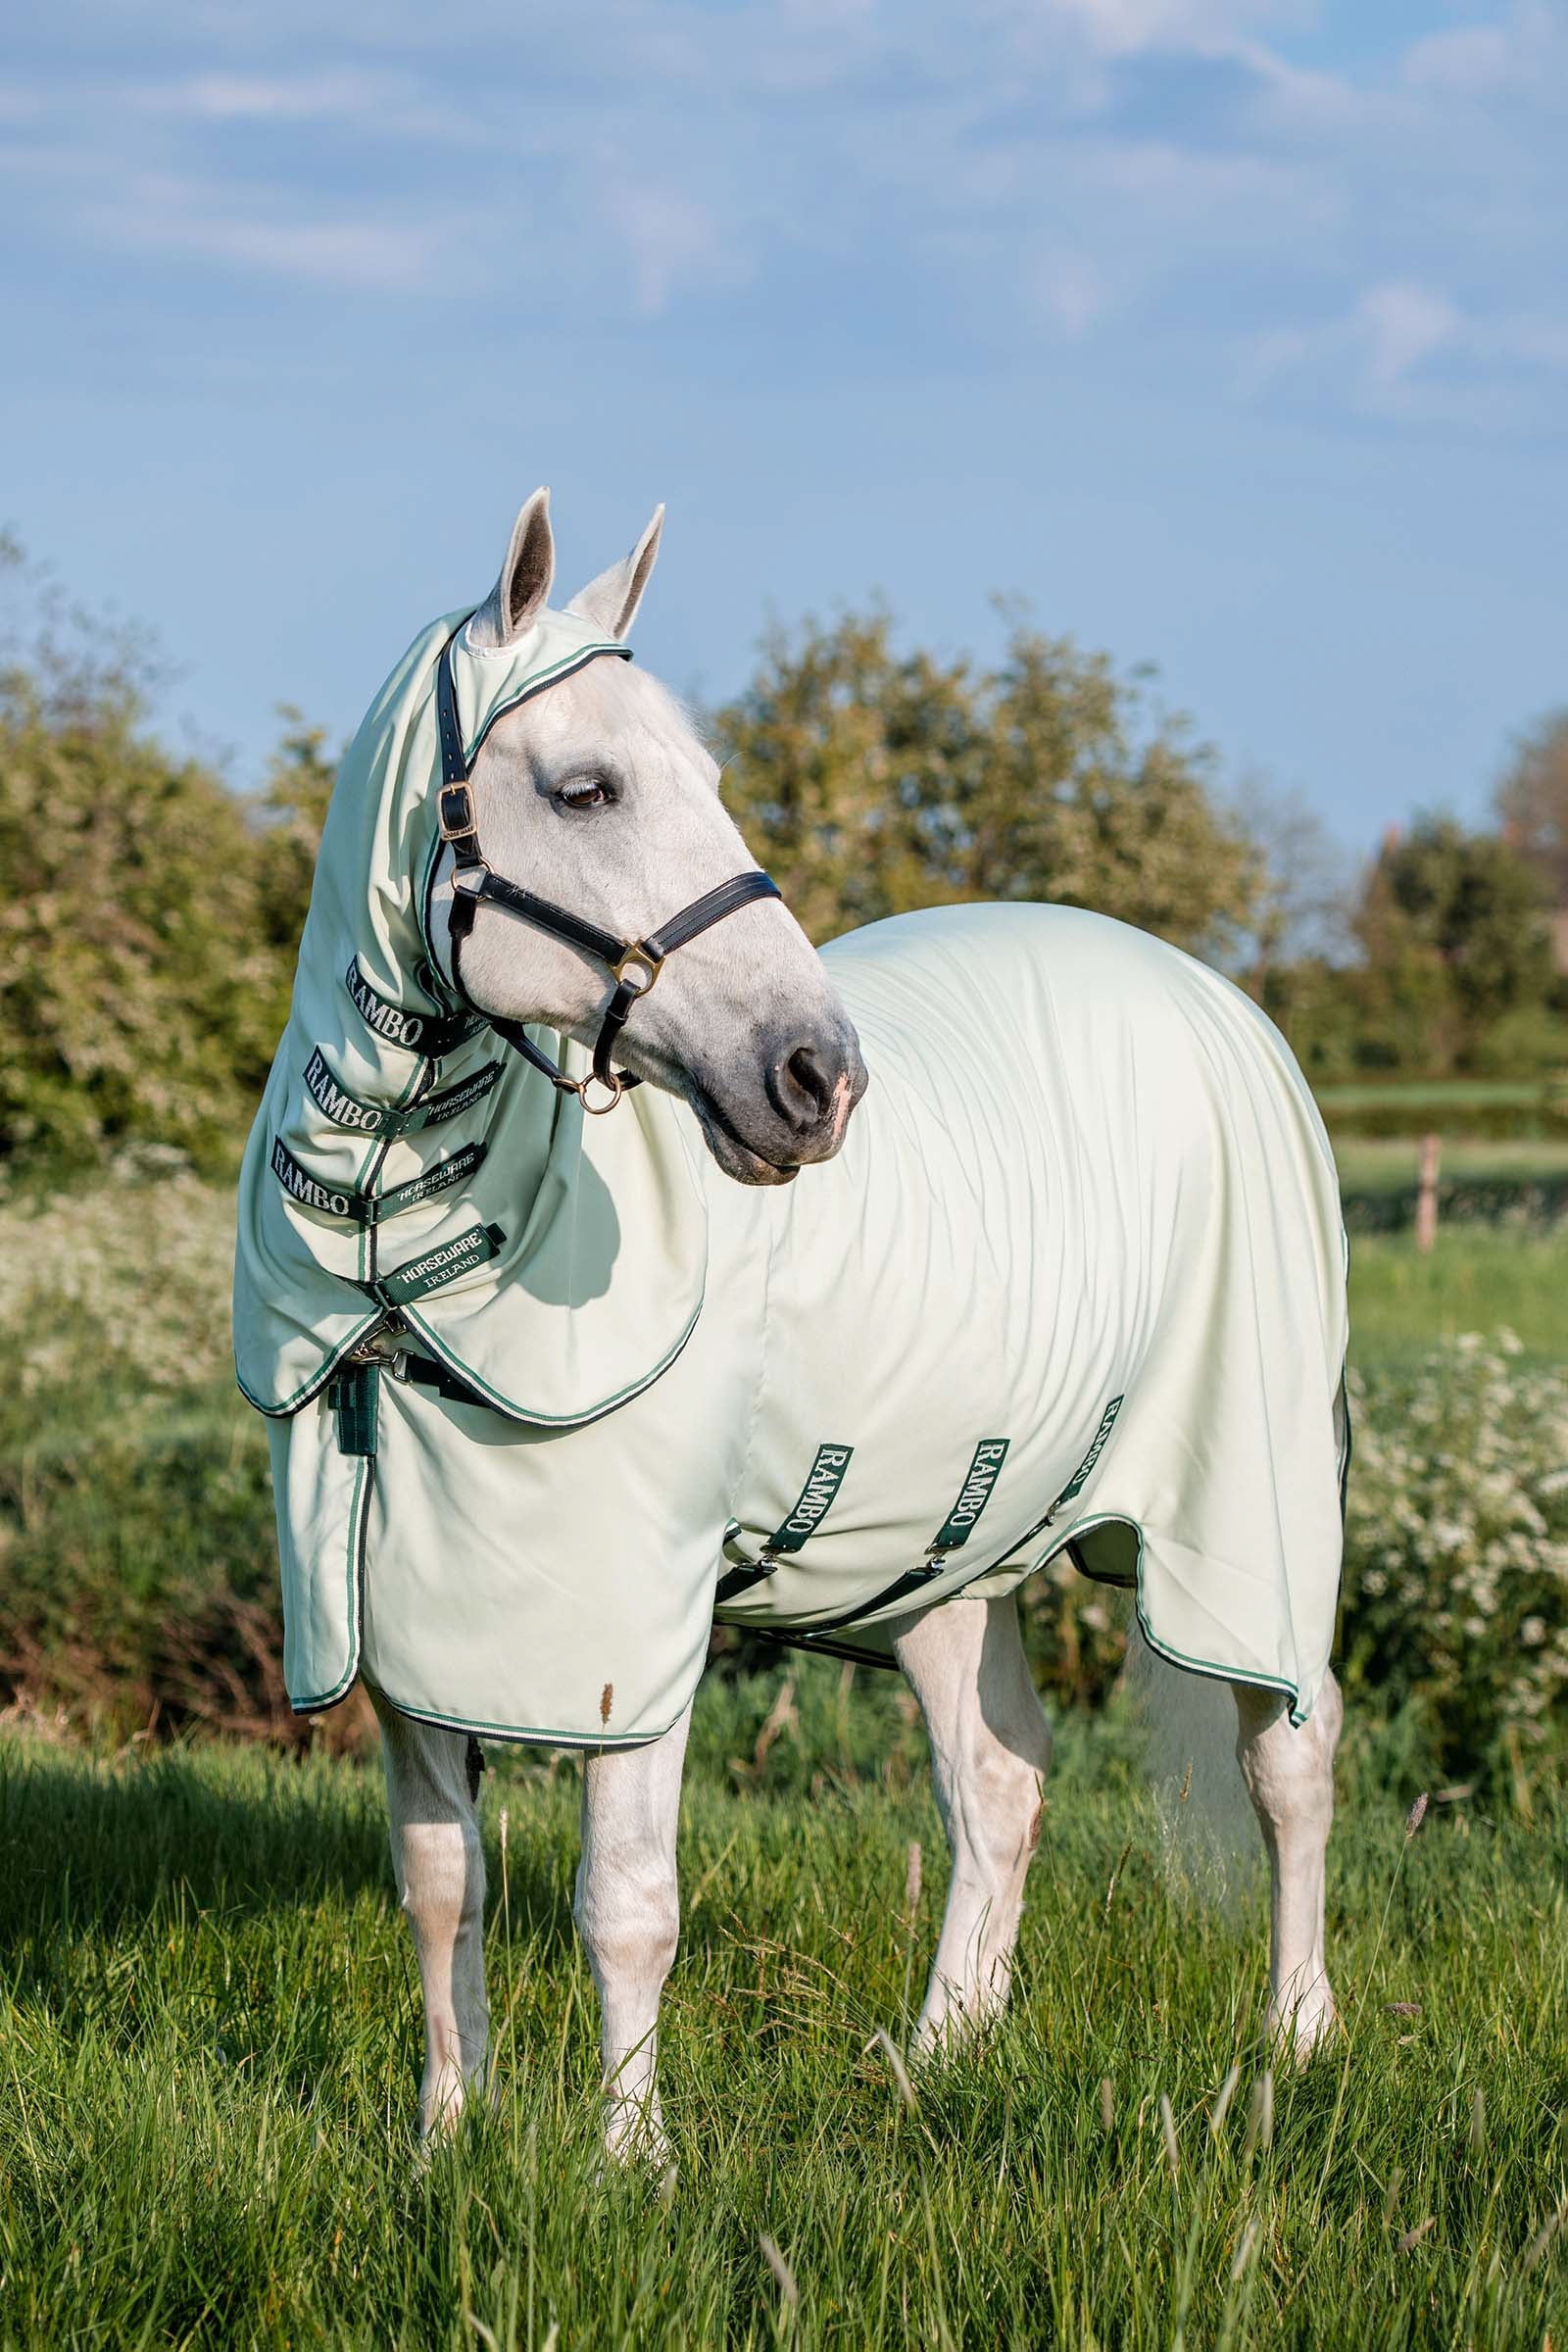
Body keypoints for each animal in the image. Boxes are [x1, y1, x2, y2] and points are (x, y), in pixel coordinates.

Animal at [235, 489, 1350, 2157]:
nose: (817, 1077)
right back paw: (941, 2052)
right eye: (586, 786)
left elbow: (625, 1904)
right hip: (955, 1546)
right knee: (997, 1782)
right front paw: (445, 2137)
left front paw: (629, 2163)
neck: (401, 1249)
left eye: (709, 780)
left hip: (1259, 1503)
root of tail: (1218, 1000)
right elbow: (442, 1888)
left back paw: (1294, 2038)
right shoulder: (401, 1619)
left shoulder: (635, 1629)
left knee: (1290, 1754)